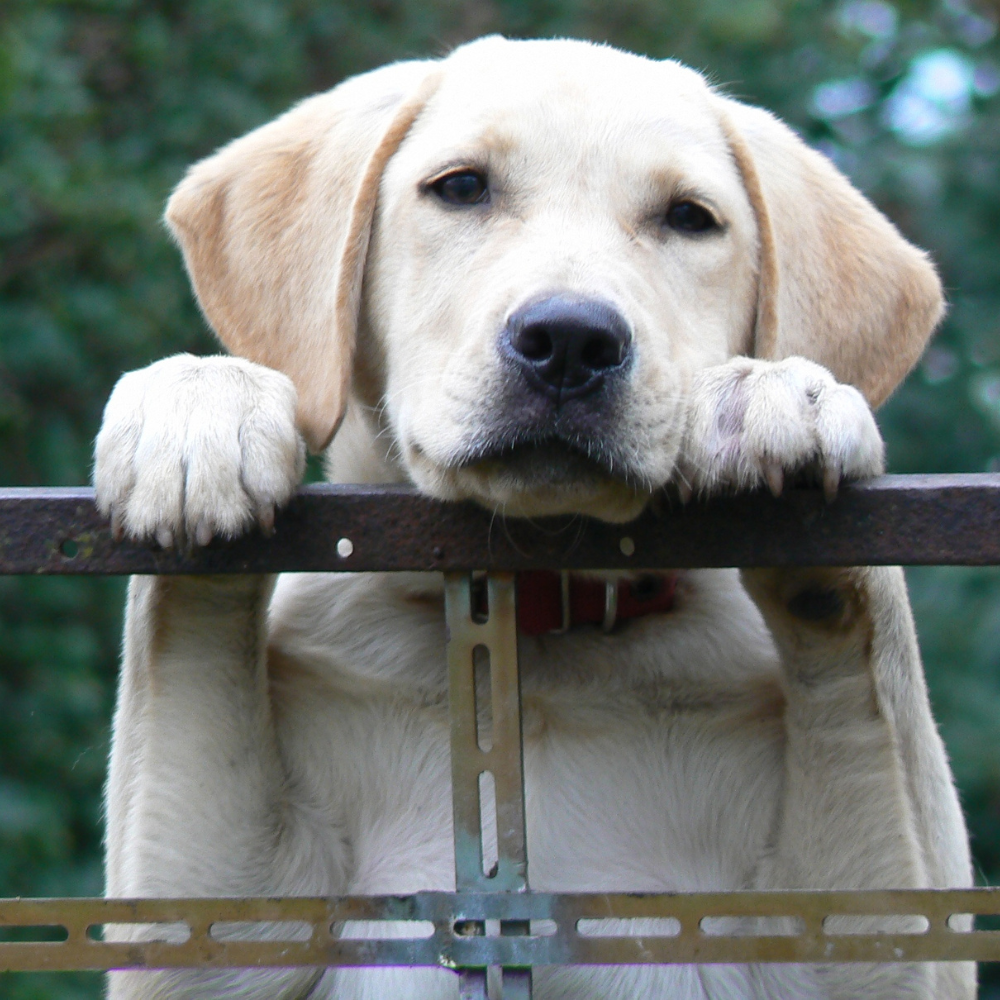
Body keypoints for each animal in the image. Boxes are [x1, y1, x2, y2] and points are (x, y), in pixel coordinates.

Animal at [95, 35, 976, 1000]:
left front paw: (781, 392)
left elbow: (869, 664)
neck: (545, 623)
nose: (570, 342)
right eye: (462, 188)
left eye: (689, 218)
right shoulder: (236, 919)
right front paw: (198, 406)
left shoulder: (861, 937)